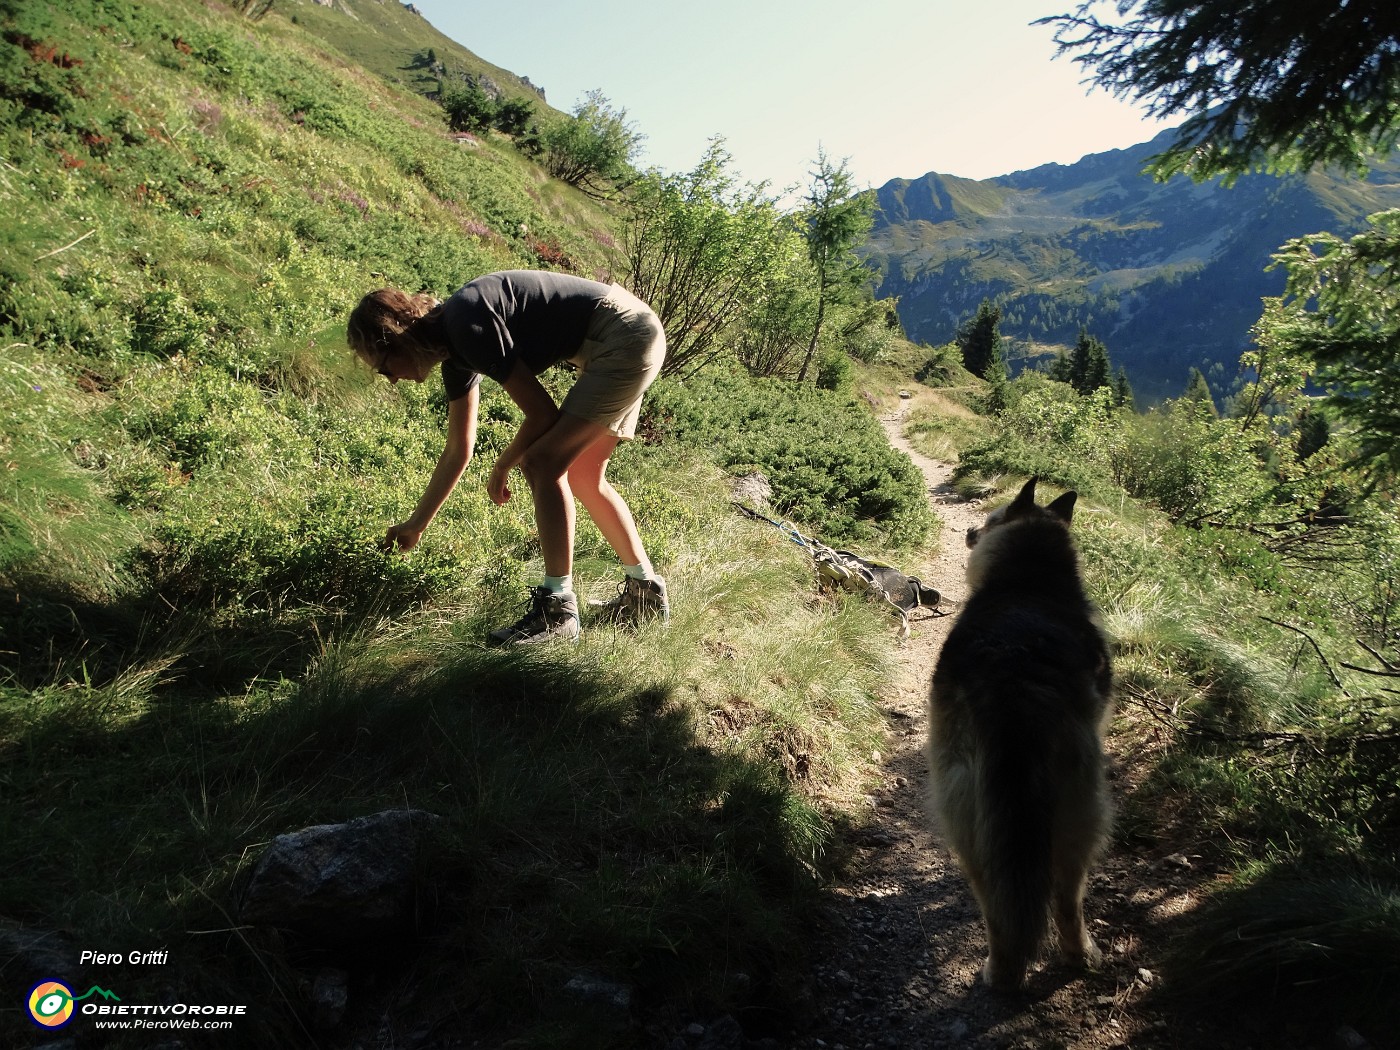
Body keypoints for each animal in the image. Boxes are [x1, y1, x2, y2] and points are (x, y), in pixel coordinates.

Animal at [924, 481, 1108, 991]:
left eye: (990, 519)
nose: (970, 530)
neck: (1028, 581)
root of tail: (1016, 673)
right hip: (1077, 811)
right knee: (1064, 899)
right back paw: (1074, 957)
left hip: (969, 813)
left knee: (999, 898)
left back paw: (1004, 969)